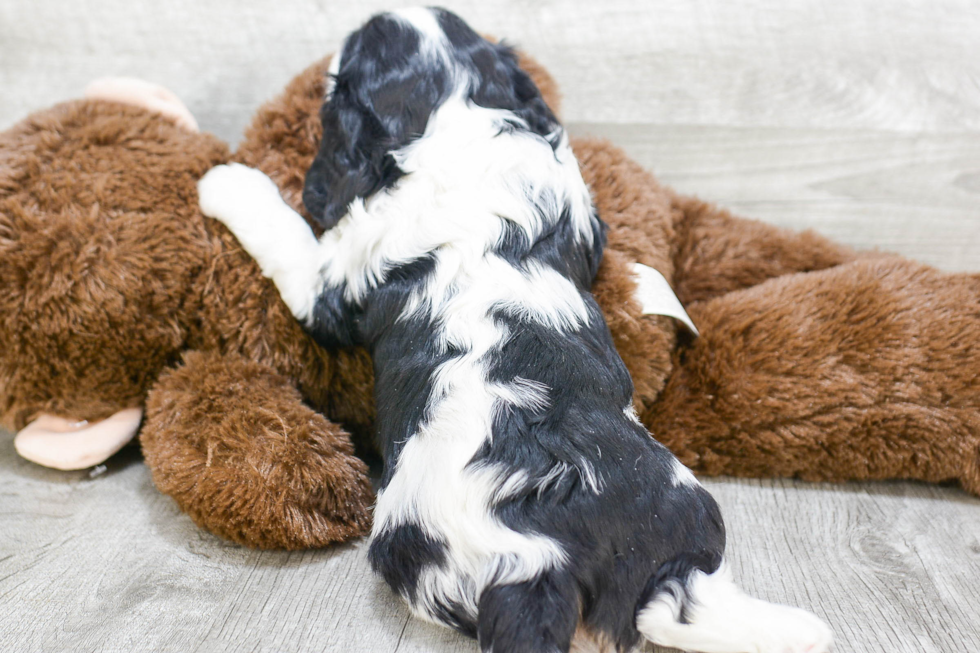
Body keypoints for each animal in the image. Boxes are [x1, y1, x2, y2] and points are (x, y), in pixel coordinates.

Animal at [201, 6, 836, 652]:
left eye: (354, 53)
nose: (386, 11)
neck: (456, 110)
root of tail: (555, 563)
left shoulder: (338, 279)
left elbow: (285, 235)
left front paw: (226, 180)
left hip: (412, 548)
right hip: (686, 508)